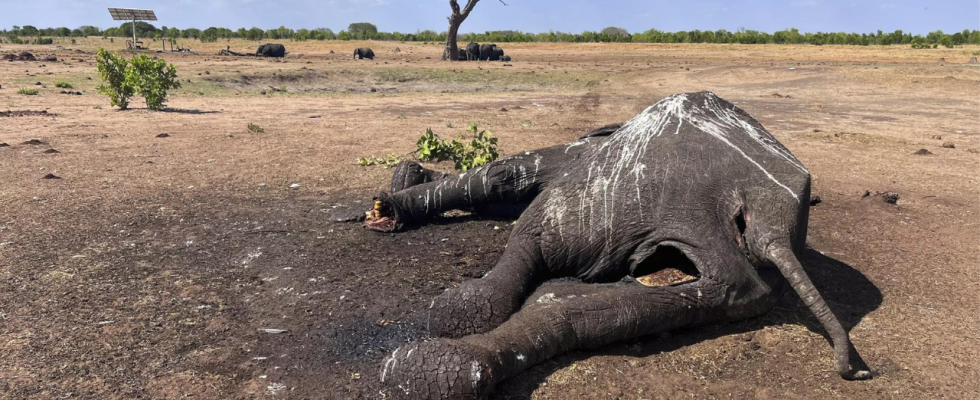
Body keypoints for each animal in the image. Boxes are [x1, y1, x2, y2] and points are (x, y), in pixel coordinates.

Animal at [360, 91, 872, 400]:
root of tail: (770, 219)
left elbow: (512, 188)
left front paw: (401, 189)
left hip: (631, 187)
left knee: (534, 222)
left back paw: (436, 358)